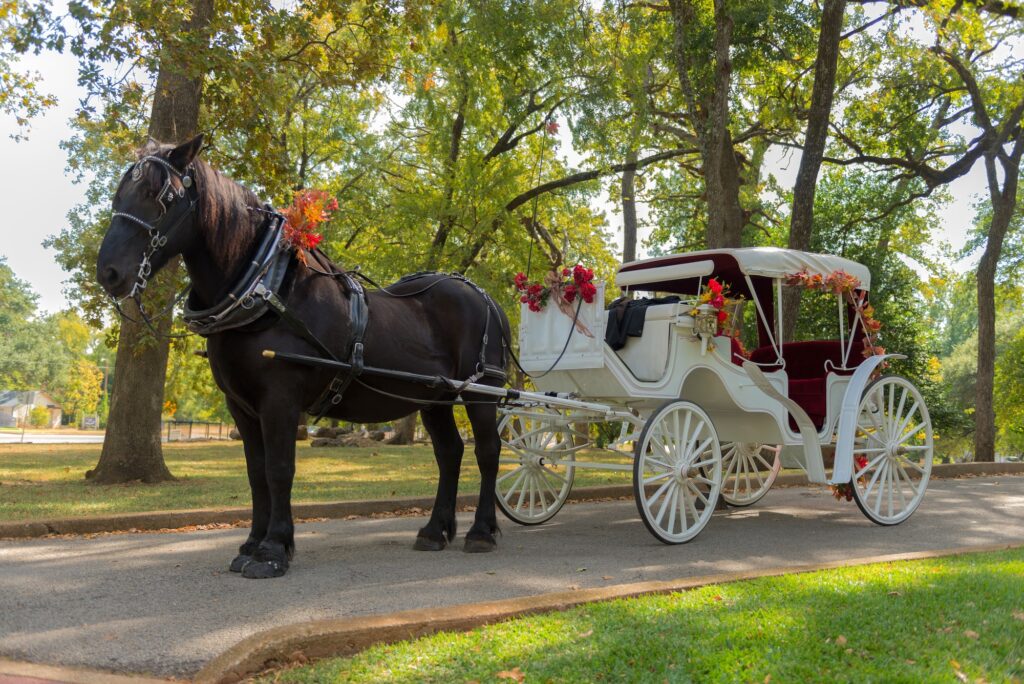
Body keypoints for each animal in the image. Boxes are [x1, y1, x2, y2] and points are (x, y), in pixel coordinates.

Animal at [95, 135, 507, 577]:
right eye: (119, 193)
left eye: (162, 196)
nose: (109, 272)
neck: (268, 290)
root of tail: (483, 295)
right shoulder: (241, 406)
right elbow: (256, 473)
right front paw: (251, 544)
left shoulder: (280, 400)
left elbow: (279, 469)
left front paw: (273, 549)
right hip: (433, 398)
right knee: (450, 453)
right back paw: (434, 530)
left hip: (482, 391)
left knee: (486, 452)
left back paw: (481, 532)